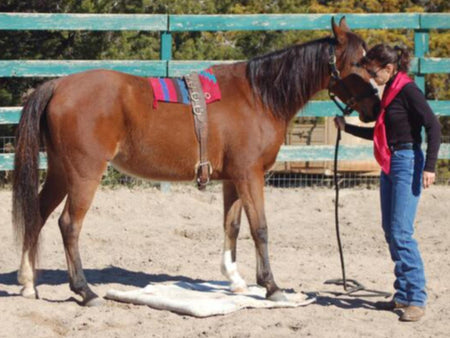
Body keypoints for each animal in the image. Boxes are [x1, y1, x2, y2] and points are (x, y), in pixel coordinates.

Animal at [12, 17, 378, 304]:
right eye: (358, 64)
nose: (375, 106)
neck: (258, 96)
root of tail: (58, 85)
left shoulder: (233, 178)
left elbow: (232, 226)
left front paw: (235, 281)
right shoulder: (250, 175)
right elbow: (259, 228)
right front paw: (271, 287)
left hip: (60, 172)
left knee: (37, 215)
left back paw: (29, 284)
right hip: (84, 174)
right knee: (68, 225)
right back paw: (84, 291)